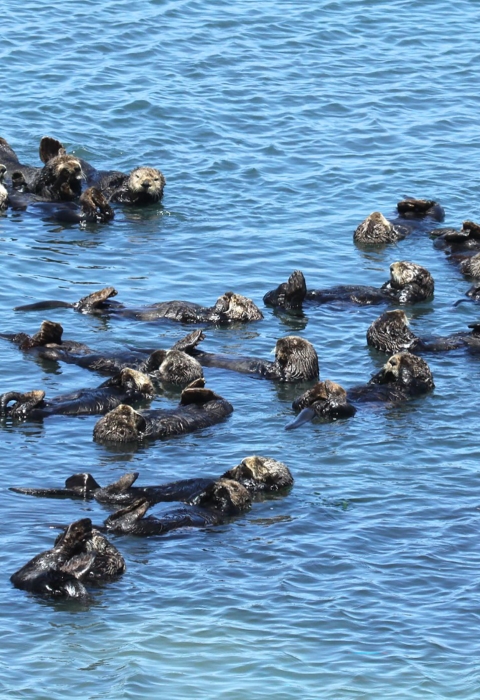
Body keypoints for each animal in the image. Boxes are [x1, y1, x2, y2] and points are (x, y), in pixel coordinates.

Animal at [0, 368, 154, 421]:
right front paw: (119, 374)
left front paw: (127, 376)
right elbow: (104, 385)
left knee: (24, 408)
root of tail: (10, 411)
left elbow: (131, 388)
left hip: (35, 413)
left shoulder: (135, 394)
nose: (124, 371)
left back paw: (36, 394)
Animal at [93, 378, 233, 444]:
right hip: (222, 405)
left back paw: (196, 384)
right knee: (213, 397)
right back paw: (195, 388)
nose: (124, 407)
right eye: (126, 415)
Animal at [103, 479, 251, 537]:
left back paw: (141, 506)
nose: (222, 483)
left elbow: (227, 505)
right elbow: (194, 500)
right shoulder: (194, 502)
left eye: (235, 488)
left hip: (146, 527)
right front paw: (211, 487)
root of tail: (113, 528)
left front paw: (221, 491)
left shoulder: (230, 511)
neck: (212, 503)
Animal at [264, 263, 434, 311]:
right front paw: (387, 282)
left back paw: (295, 283)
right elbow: (385, 288)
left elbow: (405, 296)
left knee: (290, 303)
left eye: (404, 267)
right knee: (270, 297)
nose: (391, 267)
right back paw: (285, 286)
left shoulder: (413, 297)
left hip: (295, 303)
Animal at [287, 353, 434, 429]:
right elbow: (373, 381)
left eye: (409, 359)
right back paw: (317, 390)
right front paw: (384, 369)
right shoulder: (378, 381)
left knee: (335, 408)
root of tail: (316, 405)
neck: (392, 382)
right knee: (297, 403)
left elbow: (408, 378)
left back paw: (329, 392)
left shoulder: (418, 386)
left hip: (347, 410)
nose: (391, 361)